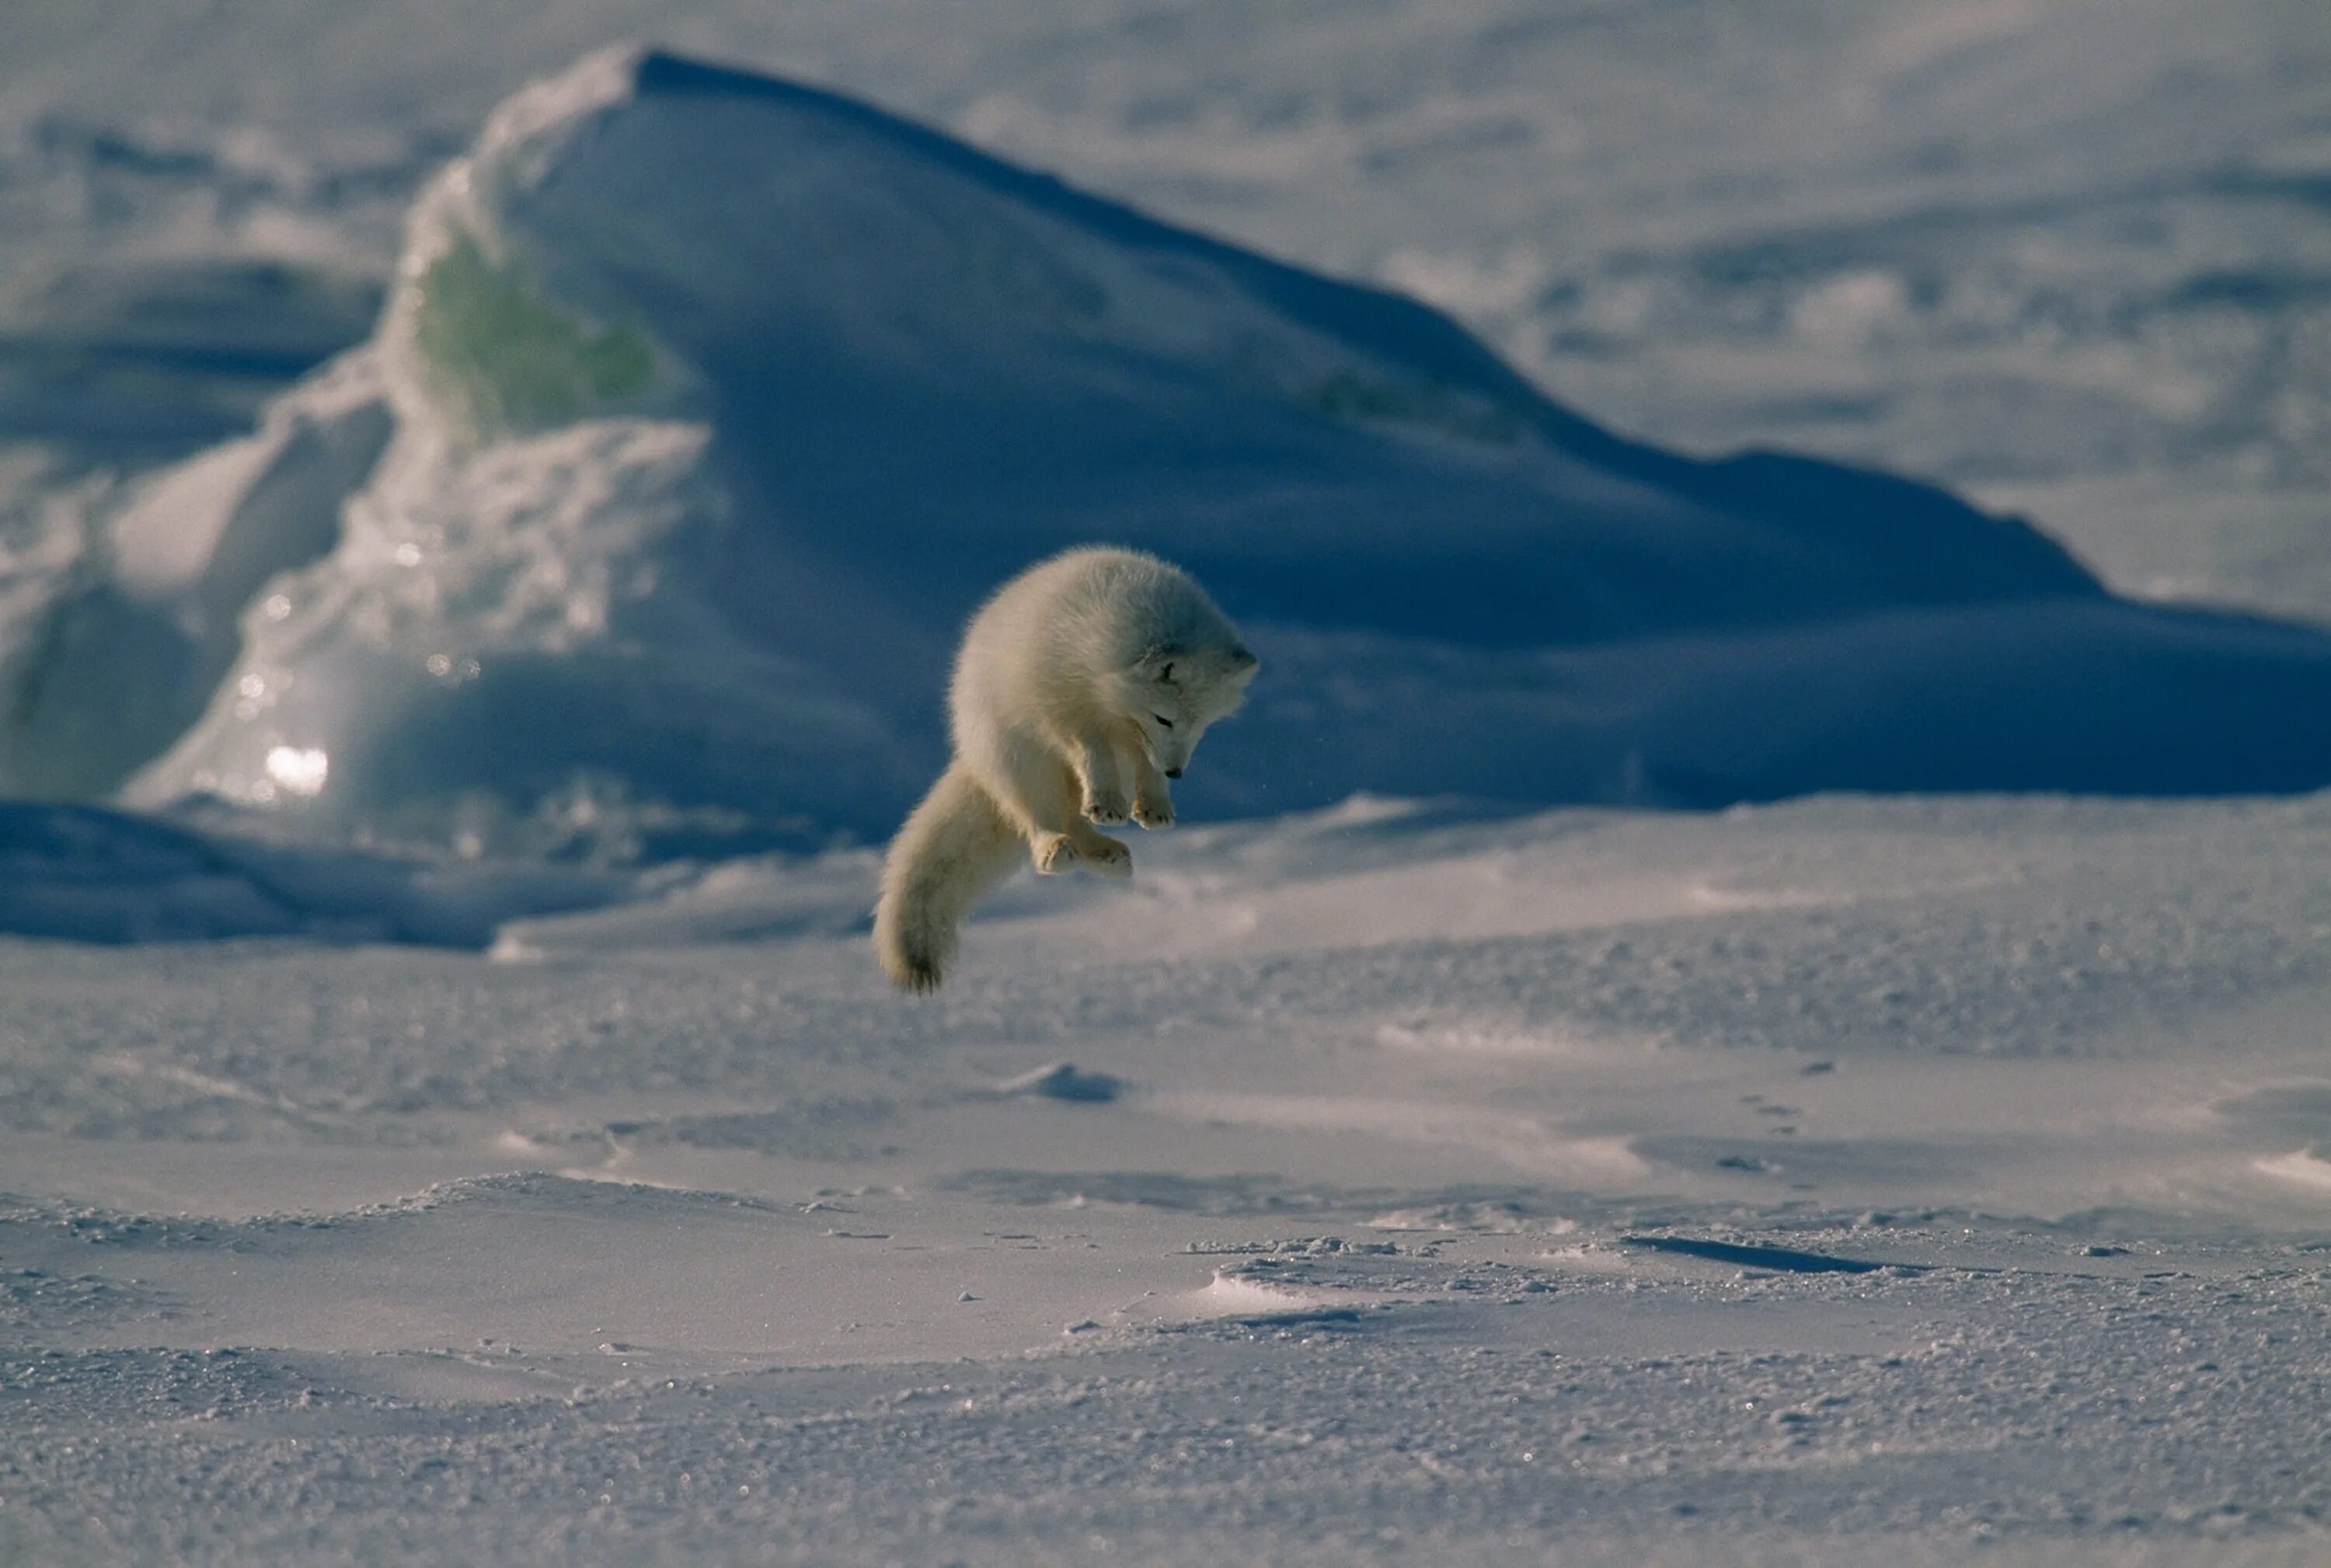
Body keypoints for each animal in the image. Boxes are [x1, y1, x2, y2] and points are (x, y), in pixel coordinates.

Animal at [876, 547, 1268, 992]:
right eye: (1164, 718)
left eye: (1203, 725)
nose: (1176, 773)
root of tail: (972, 759)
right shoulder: (1066, 710)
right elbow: (1092, 753)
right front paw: (1109, 801)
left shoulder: (1133, 739)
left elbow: (1143, 767)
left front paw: (1154, 806)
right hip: (1022, 763)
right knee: (1039, 820)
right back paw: (1057, 849)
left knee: (1074, 819)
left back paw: (1106, 854)